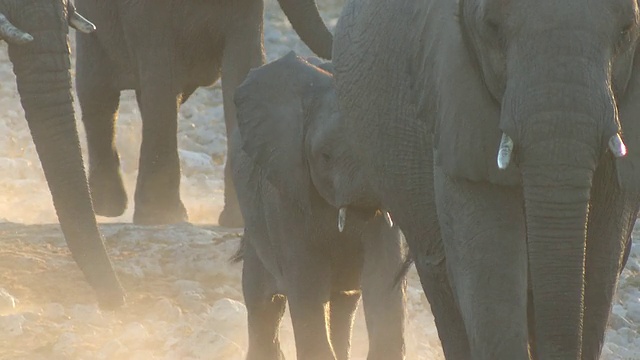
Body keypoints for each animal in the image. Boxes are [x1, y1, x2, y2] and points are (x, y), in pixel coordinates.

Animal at [74, 0, 332, 226]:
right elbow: (161, 73)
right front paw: (161, 217)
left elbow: (242, 65)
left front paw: (238, 221)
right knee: (97, 94)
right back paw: (107, 207)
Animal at [232, 51, 408, 360]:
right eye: (325, 156)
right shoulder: (284, 191)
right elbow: (307, 286)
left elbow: (383, 276)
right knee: (263, 302)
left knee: (344, 305)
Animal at [332, 0, 640, 358]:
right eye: (492, 28)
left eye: (627, 31)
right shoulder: (455, 100)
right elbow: (490, 275)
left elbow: (600, 268)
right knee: (439, 279)